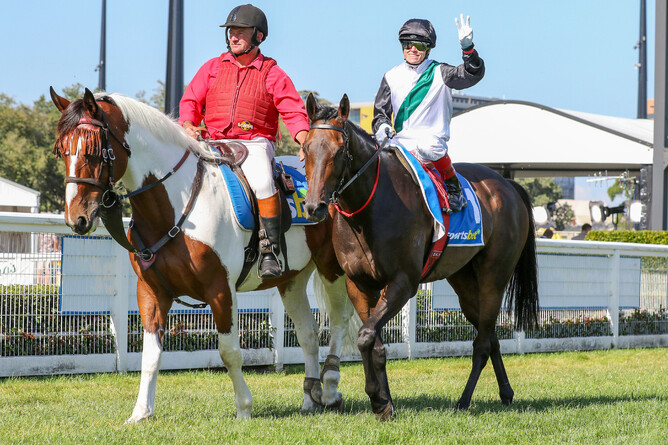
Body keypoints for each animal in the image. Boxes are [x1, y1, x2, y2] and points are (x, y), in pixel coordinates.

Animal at [51, 88, 354, 422]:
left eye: (94, 151)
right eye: (62, 151)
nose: (76, 218)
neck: (175, 205)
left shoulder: (220, 290)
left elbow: (229, 352)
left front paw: (244, 408)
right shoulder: (151, 292)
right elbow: (150, 354)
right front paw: (141, 412)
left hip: (331, 268)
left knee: (338, 321)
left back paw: (329, 389)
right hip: (293, 279)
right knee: (308, 334)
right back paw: (310, 398)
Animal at [300, 94, 540, 420]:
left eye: (338, 150)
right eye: (305, 148)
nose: (315, 207)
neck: (369, 209)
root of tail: (508, 185)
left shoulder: (403, 282)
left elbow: (365, 335)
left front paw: (377, 398)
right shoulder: (359, 284)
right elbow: (373, 343)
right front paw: (383, 403)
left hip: (494, 277)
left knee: (481, 343)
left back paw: (464, 401)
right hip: (465, 284)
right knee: (490, 336)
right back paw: (505, 393)